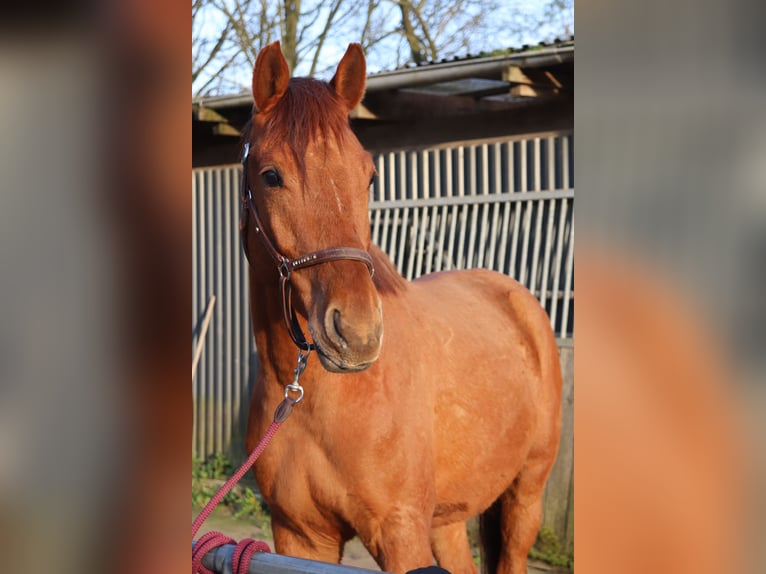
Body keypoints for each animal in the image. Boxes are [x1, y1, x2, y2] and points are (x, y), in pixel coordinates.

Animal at [246, 41, 564, 574]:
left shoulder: (400, 532)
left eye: (369, 176)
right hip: (448, 518)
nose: (356, 335)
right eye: (271, 176)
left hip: (525, 499)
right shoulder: (300, 536)